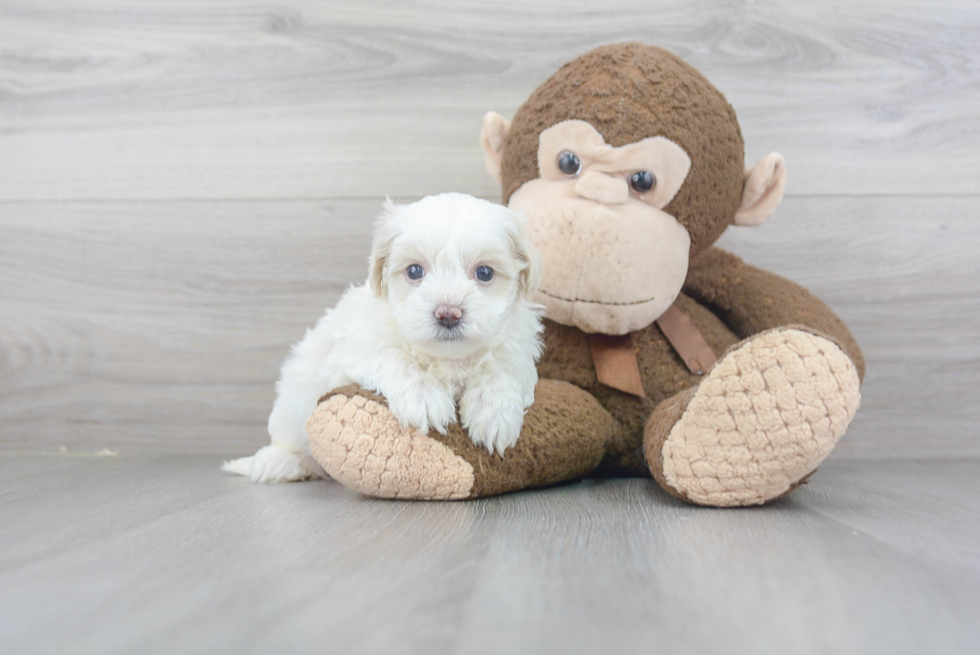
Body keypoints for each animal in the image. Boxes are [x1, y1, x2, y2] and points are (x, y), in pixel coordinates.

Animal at [223, 192, 544, 484]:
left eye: (485, 272)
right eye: (414, 271)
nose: (448, 313)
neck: (445, 357)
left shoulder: (516, 348)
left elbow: (501, 371)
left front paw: (494, 414)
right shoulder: (355, 352)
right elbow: (395, 358)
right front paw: (424, 397)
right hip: (291, 406)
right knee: (289, 443)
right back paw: (278, 463)